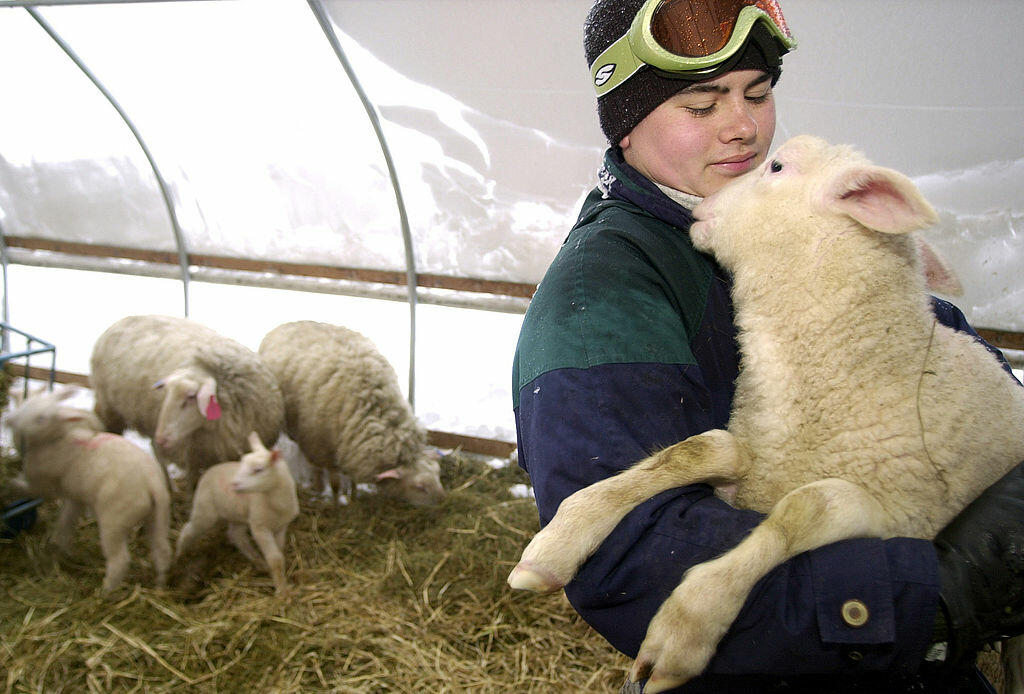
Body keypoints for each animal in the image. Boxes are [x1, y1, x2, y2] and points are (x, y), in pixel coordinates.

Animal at [6, 388, 172, 593]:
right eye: (27, 403)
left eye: (41, 418)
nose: (9, 420)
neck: (58, 438)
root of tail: (152, 484)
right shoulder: (74, 496)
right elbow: (66, 521)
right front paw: (61, 548)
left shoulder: (41, 483)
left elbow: (25, 488)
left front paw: (7, 486)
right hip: (158, 516)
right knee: (162, 550)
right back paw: (160, 585)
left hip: (114, 520)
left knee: (120, 560)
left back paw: (106, 591)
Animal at [89, 315, 286, 495]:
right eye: (167, 392)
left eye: (191, 397)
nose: (162, 437)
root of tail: (121, 321)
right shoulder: (191, 452)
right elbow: (193, 482)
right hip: (112, 410)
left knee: (155, 449)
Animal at [173, 431, 296, 593]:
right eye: (242, 463)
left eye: (258, 469)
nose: (233, 484)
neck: (276, 503)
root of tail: (208, 471)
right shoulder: (259, 527)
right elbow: (275, 559)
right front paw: (282, 591)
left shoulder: (282, 526)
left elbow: (279, 552)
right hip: (205, 509)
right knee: (188, 530)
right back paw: (179, 555)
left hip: (237, 514)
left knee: (236, 536)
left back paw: (259, 562)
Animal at [260, 321, 444, 511]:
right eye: (420, 487)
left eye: (438, 473)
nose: (443, 500)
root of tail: (287, 324)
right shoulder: (321, 448)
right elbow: (334, 483)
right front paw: (335, 502)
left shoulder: (352, 447)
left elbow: (353, 478)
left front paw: (354, 496)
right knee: (313, 464)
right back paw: (316, 485)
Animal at [507, 137, 1024, 694]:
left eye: (776, 166)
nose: (704, 208)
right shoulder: (745, 467)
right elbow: (710, 446)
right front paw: (561, 538)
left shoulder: (902, 518)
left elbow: (810, 506)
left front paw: (687, 625)